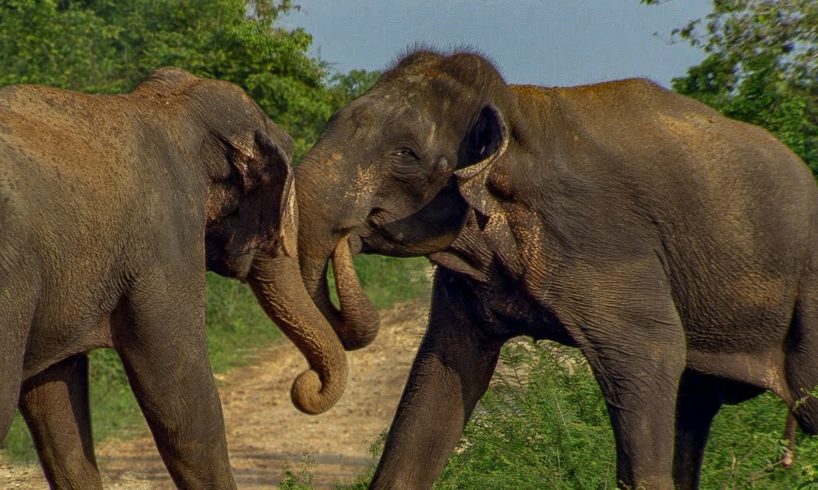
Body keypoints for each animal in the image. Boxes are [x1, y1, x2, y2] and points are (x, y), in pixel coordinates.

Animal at [294, 50, 816, 490]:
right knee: (694, 404)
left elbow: (654, 352)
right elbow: (437, 380)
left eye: (405, 154)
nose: (349, 236)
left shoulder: (604, 239)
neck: (516, 115)